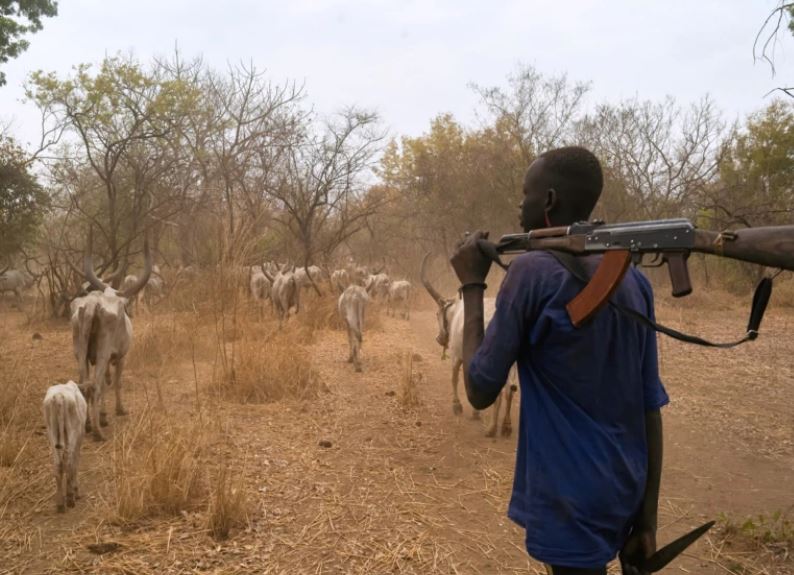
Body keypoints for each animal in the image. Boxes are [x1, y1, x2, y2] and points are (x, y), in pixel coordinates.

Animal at [43, 382, 88, 512]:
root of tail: (58, 396)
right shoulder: (78, 440)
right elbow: (75, 464)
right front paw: (76, 490)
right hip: (72, 434)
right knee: (68, 462)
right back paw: (70, 498)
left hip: (52, 433)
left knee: (58, 465)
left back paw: (60, 504)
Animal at [418, 254, 516, 438]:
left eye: (437, 313)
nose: (439, 338)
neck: (457, 311)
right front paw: (476, 411)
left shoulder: (457, 355)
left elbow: (454, 378)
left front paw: (457, 406)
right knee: (510, 390)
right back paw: (506, 426)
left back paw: (492, 429)